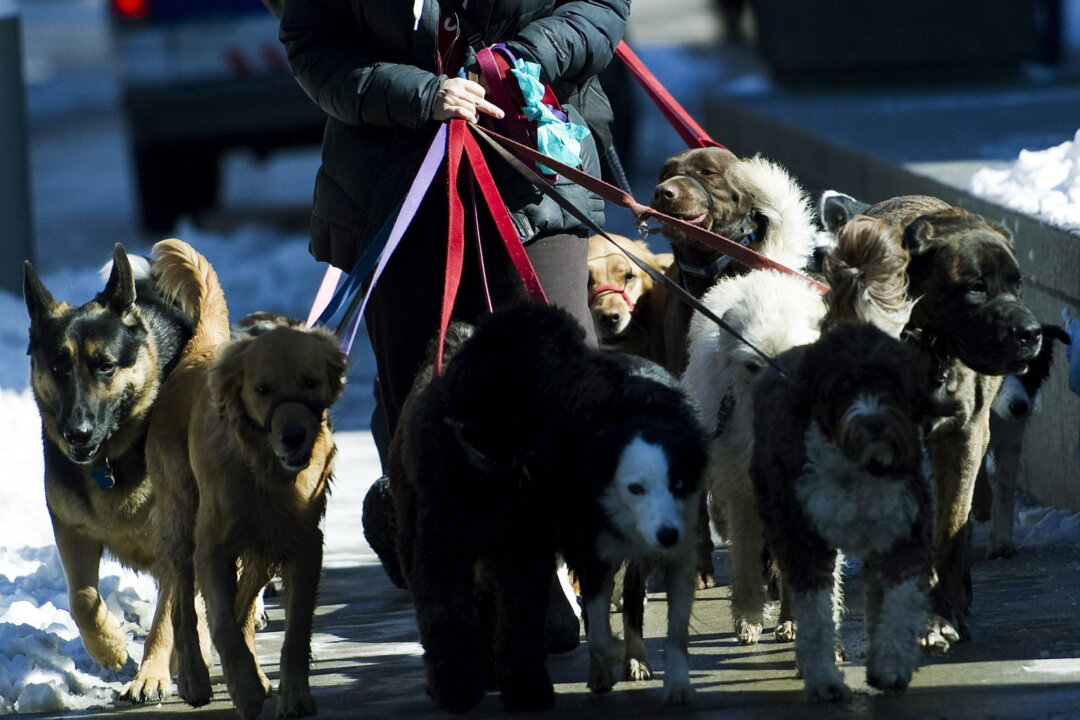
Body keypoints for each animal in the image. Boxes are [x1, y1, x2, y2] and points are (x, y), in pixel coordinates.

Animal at [147, 240, 347, 716]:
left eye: (310, 381)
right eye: (262, 388)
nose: (294, 436)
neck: (263, 469)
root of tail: (202, 344)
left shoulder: (303, 544)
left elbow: (294, 631)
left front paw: (293, 694)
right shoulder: (212, 545)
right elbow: (218, 622)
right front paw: (247, 692)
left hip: (259, 550)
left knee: (240, 607)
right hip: (181, 518)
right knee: (182, 604)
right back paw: (196, 679)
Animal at [388, 304, 708, 716]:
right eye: (552, 351)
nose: (611, 371)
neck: (492, 464)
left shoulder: (522, 554)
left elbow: (520, 619)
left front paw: (526, 689)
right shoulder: (442, 556)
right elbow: (446, 617)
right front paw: (456, 690)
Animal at [820, 193, 1041, 647]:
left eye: (1017, 283)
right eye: (975, 287)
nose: (1031, 333)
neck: (926, 342)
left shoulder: (965, 436)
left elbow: (951, 529)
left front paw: (944, 612)